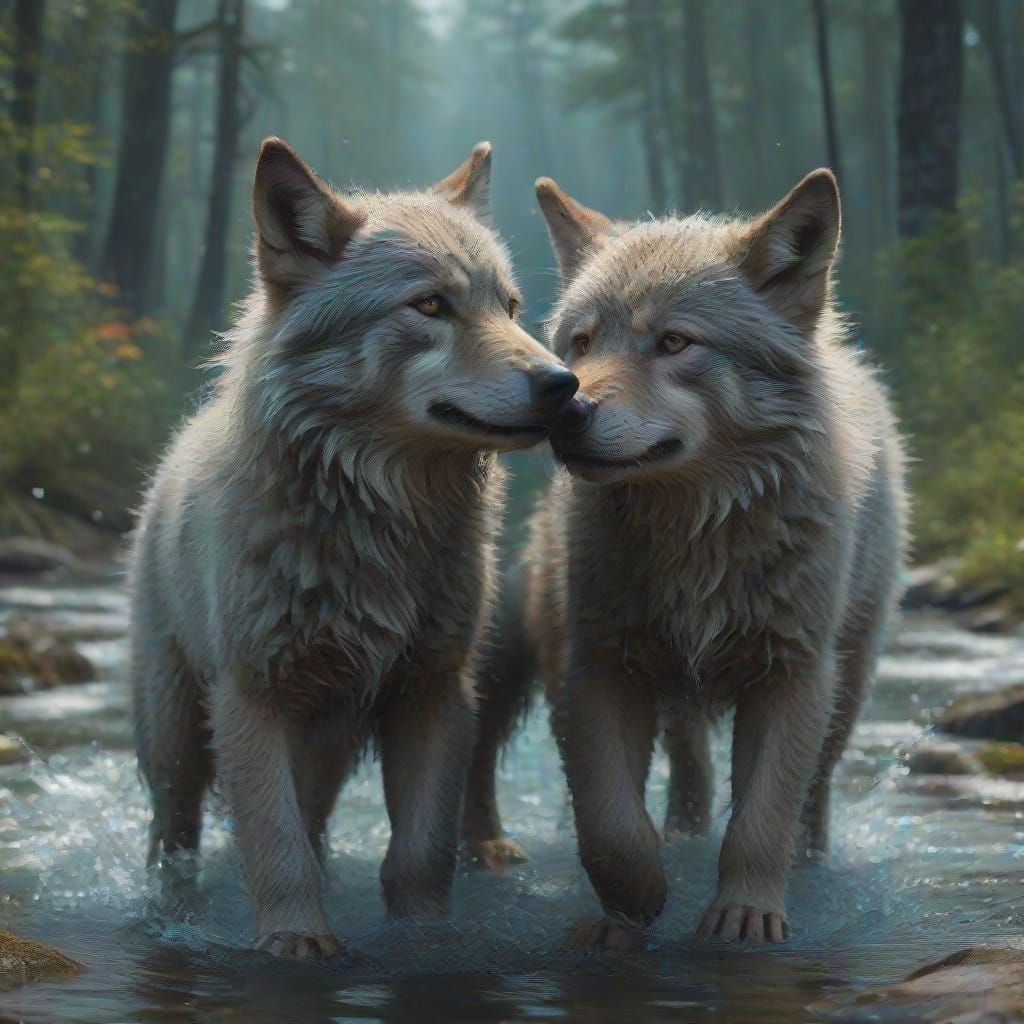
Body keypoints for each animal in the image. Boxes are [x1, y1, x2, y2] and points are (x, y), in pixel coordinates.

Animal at [129, 137, 578, 958]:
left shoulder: (434, 693)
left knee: (313, 822)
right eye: (429, 306)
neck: (377, 521)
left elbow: (421, 851)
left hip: (331, 741)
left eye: (508, 307)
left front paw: (423, 939)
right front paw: (296, 940)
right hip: (175, 734)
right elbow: (273, 844)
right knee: (172, 835)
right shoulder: (252, 702)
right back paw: (173, 911)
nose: (565, 385)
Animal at [465, 169, 906, 946]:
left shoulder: (792, 676)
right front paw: (629, 910)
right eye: (581, 343)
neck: (697, 535)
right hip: (519, 641)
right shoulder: (597, 668)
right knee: (504, 745)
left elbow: (762, 819)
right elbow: (609, 822)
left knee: (812, 786)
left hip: (845, 681)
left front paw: (746, 915)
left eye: (674, 342)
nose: (568, 408)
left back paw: (807, 860)